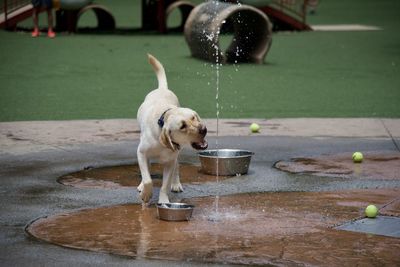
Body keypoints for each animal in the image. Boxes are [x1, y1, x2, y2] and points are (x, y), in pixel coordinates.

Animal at [137, 55, 208, 205]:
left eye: (194, 117)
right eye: (182, 126)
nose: (204, 129)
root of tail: (162, 88)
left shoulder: (170, 161)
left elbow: (165, 184)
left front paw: (164, 200)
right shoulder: (141, 152)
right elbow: (147, 179)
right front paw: (146, 193)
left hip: (176, 155)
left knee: (177, 167)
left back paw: (175, 184)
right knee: (147, 169)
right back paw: (141, 185)